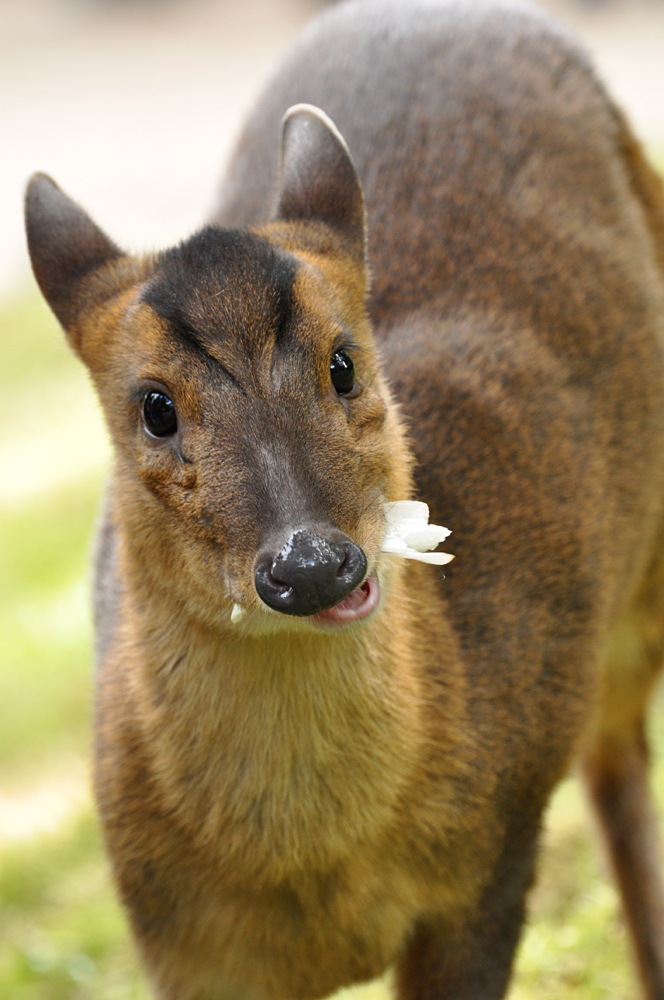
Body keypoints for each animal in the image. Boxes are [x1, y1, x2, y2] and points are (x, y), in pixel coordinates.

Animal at [23, 1, 664, 1000]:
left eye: (343, 362)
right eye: (155, 407)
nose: (312, 563)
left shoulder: (491, 862)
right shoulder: (179, 945)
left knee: (619, 764)